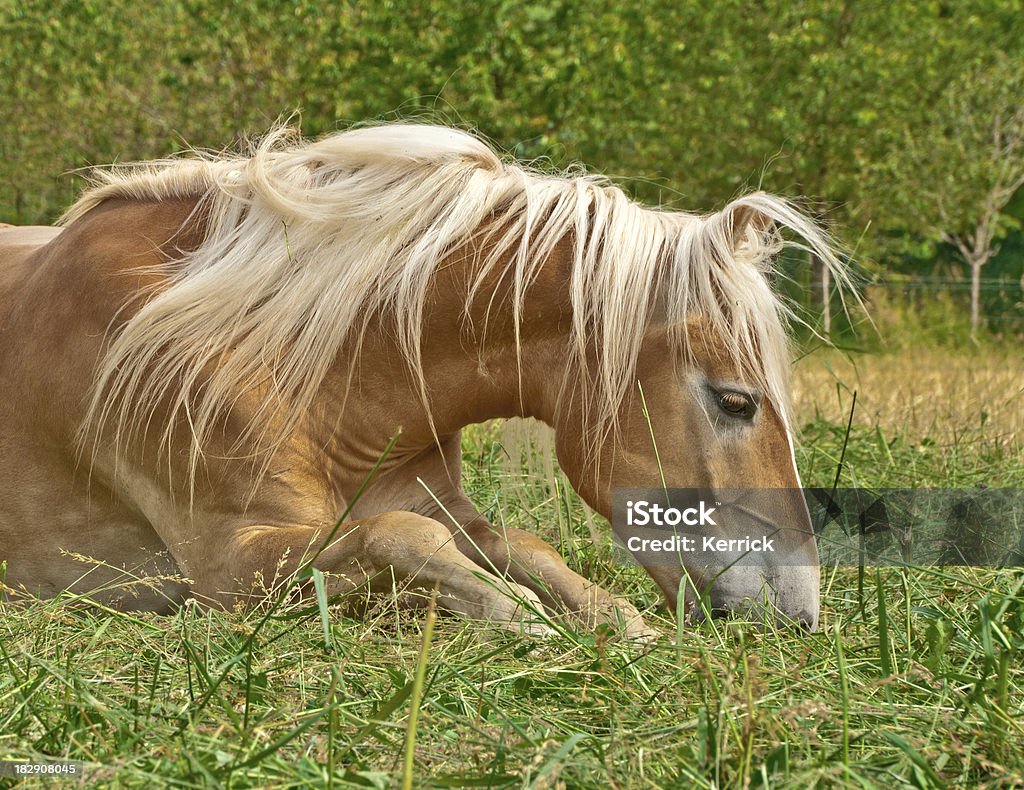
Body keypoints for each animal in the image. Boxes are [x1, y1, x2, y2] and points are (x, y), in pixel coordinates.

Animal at [0, 126, 839, 639]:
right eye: (736, 401)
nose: (797, 614)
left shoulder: (446, 506)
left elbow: (519, 543)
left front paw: (615, 620)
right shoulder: (226, 569)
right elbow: (402, 537)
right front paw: (522, 616)